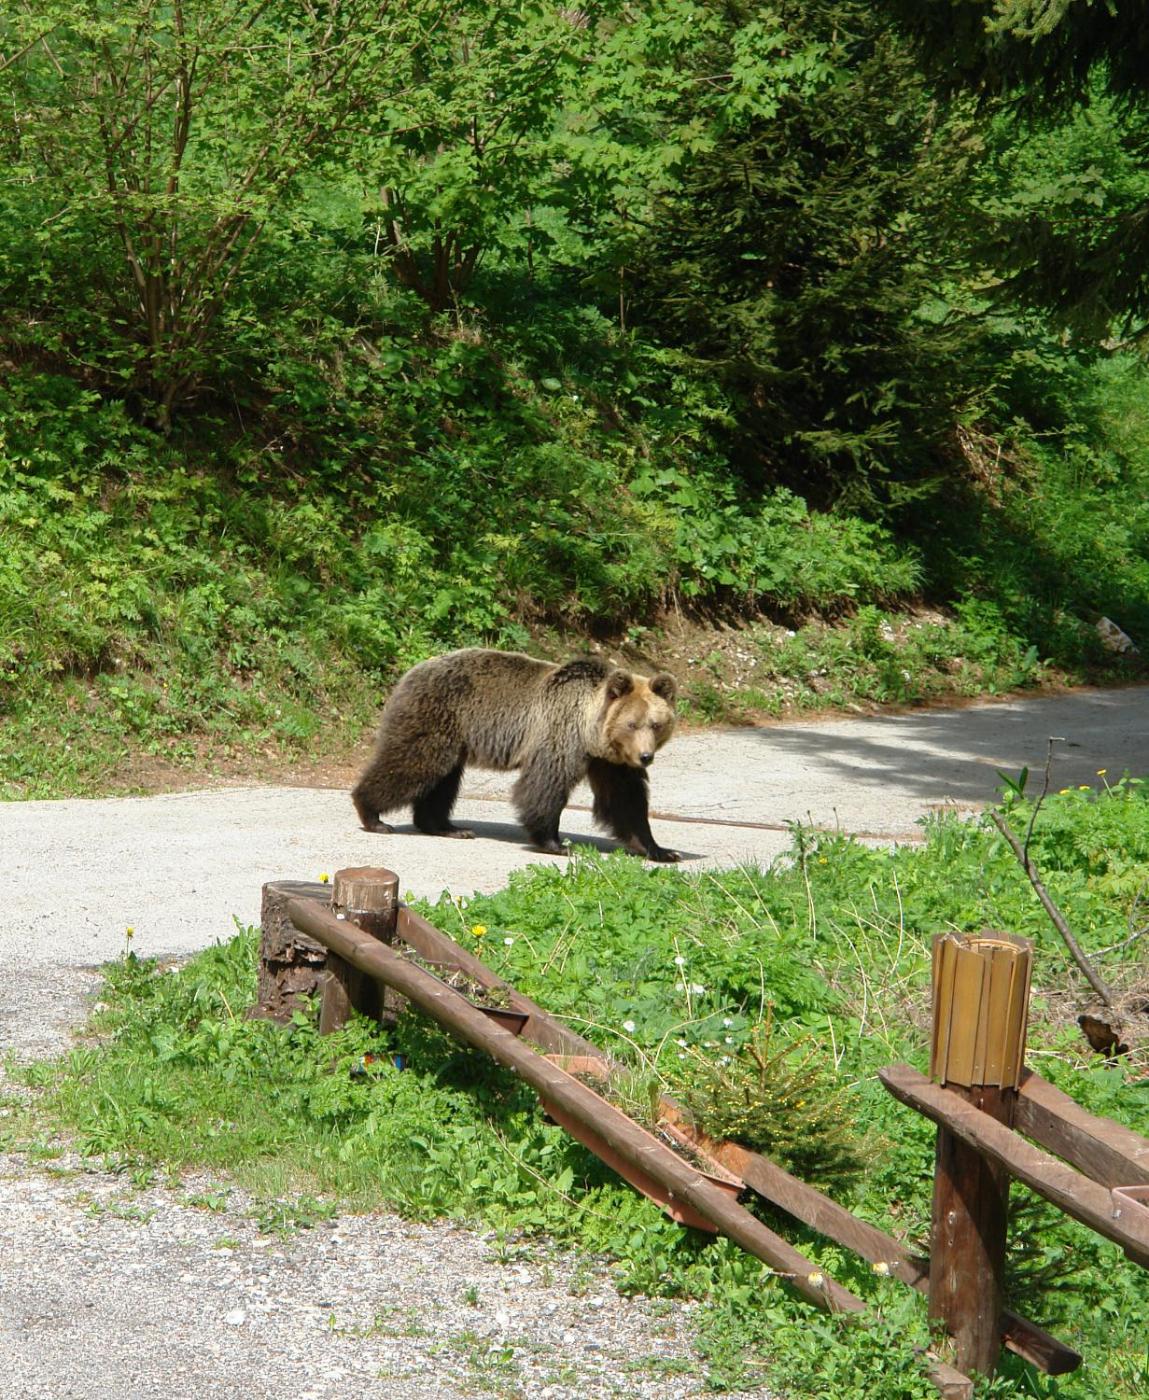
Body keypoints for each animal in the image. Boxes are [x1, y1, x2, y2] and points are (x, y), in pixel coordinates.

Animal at [351, 648, 681, 862]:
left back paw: (448, 827)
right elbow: (546, 785)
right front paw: (556, 843)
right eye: (631, 723)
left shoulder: (610, 761)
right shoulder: (560, 734)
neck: (591, 730)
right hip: (437, 717)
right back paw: (373, 815)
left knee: (443, 781)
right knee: (413, 764)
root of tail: (412, 670)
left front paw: (661, 850)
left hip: (453, 736)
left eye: (656, 724)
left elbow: (626, 800)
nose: (645, 757)